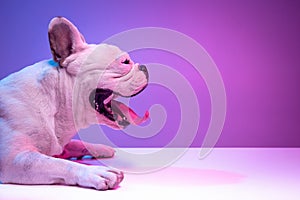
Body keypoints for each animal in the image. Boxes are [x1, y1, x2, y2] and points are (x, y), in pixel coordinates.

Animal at [0, 16, 149, 189]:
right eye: (125, 62)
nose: (144, 67)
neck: (56, 99)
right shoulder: (15, 160)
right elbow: (58, 164)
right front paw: (95, 171)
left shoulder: (58, 146)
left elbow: (74, 144)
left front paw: (99, 148)